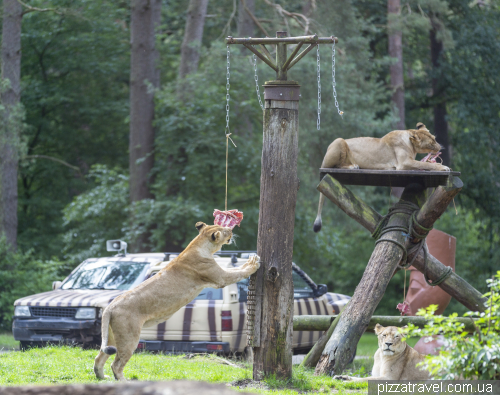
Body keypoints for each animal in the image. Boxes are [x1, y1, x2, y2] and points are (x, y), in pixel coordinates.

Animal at [92, 223, 262, 380]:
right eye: (225, 230)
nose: (232, 230)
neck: (198, 244)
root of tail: (110, 306)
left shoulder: (220, 273)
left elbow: (237, 269)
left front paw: (249, 260)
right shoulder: (220, 278)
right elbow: (238, 272)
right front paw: (253, 262)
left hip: (113, 336)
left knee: (99, 357)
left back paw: (102, 377)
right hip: (129, 337)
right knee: (116, 364)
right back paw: (122, 380)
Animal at [312, 120, 450, 232]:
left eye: (434, 138)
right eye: (431, 143)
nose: (440, 147)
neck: (410, 142)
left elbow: (425, 164)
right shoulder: (403, 163)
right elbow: (426, 164)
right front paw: (444, 167)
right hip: (339, 141)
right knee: (334, 166)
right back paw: (353, 166)